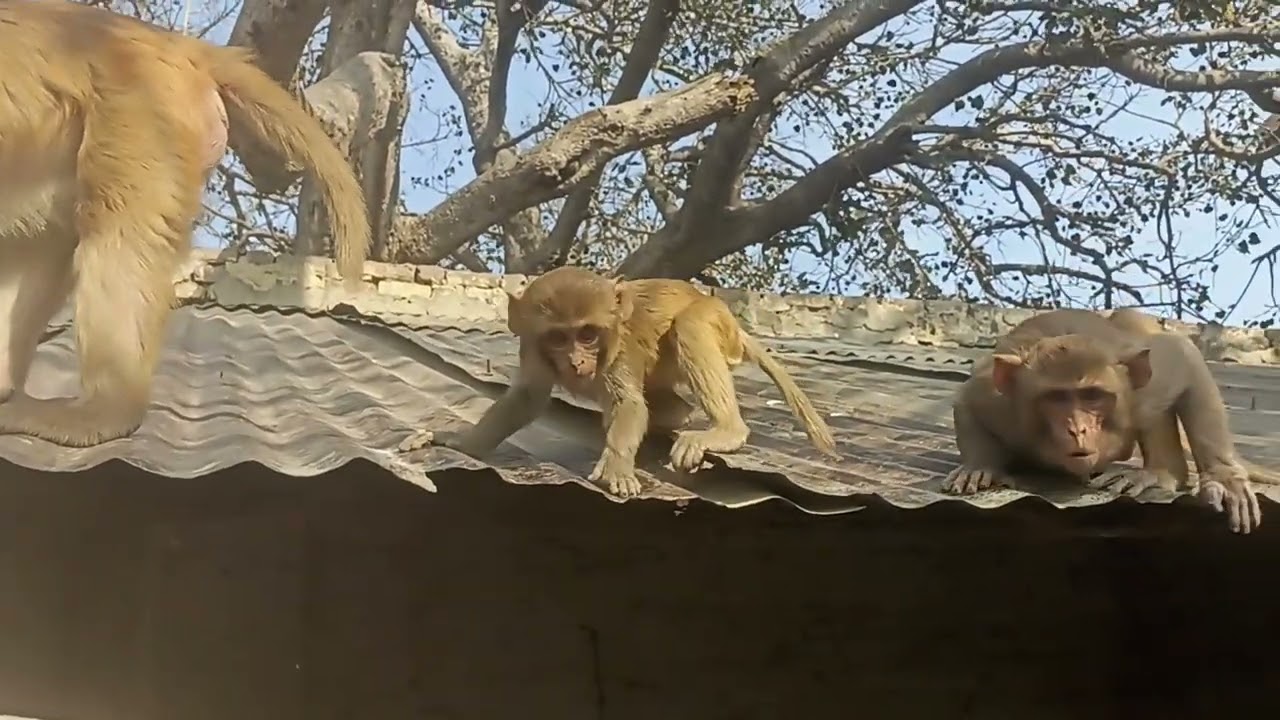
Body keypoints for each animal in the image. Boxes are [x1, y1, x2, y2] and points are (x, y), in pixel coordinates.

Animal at [399, 266, 838, 498]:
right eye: (558, 338)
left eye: (588, 335)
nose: (577, 360)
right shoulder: (532, 351)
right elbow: (526, 398)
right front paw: (459, 443)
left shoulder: (619, 351)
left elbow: (629, 405)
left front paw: (616, 465)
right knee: (672, 405)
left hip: (716, 322)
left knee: (690, 326)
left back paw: (726, 431)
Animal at [943, 307, 1269, 534]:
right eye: (1057, 398)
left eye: (1092, 396)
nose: (1078, 429)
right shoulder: (999, 402)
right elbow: (966, 398)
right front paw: (980, 467)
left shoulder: (1145, 387)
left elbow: (1182, 354)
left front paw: (1225, 479)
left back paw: (1159, 473)